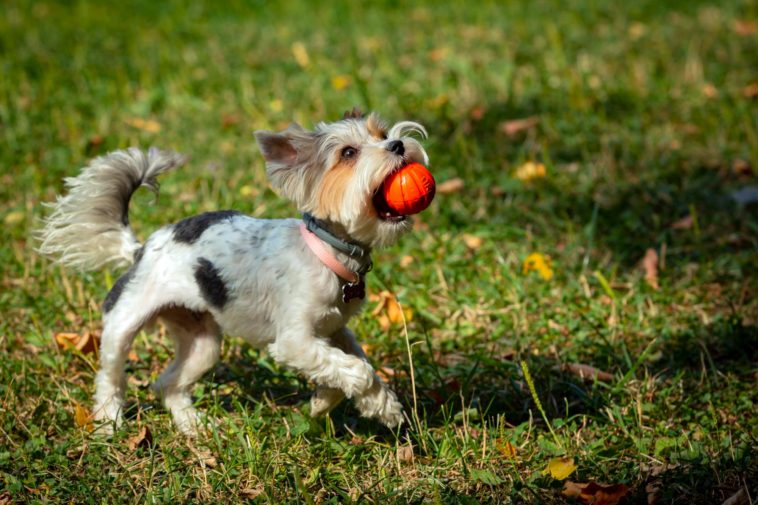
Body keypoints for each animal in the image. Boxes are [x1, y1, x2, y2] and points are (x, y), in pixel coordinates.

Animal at [38, 110, 434, 434]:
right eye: (348, 153)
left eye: (380, 133)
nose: (397, 144)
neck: (325, 253)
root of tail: (140, 249)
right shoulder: (294, 341)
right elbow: (357, 369)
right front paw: (362, 400)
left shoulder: (335, 330)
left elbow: (351, 364)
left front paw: (345, 402)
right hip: (124, 321)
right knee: (111, 375)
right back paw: (109, 421)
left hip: (202, 341)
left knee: (168, 384)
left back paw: (192, 425)